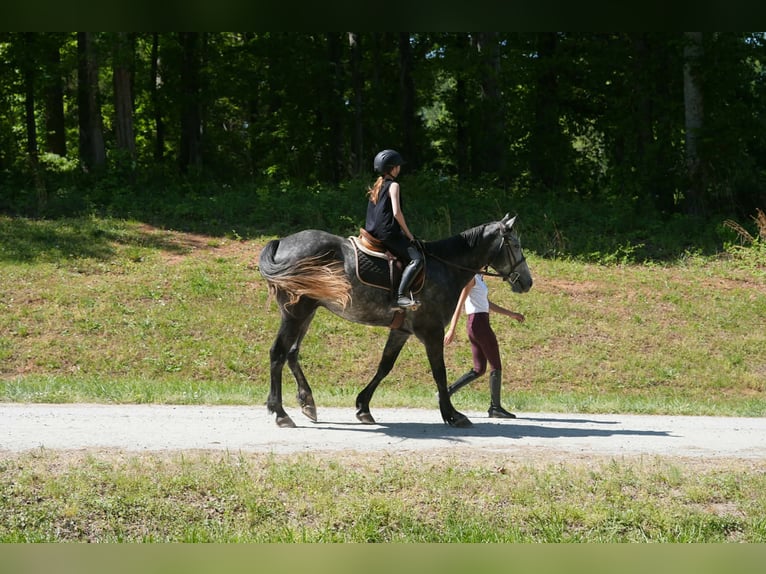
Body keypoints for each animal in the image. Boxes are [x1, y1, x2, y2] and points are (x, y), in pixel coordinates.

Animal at [258, 214, 533, 428]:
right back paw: (280, 413)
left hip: (307, 312)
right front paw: (452, 415)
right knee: (278, 353)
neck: (445, 268)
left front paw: (363, 407)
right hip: (295, 313)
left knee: (292, 353)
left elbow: (384, 366)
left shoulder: (402, 331)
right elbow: (439, 372)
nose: (528, 282)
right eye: (515, 244)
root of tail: (282, 242)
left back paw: (307, 402)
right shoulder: (431, 332)